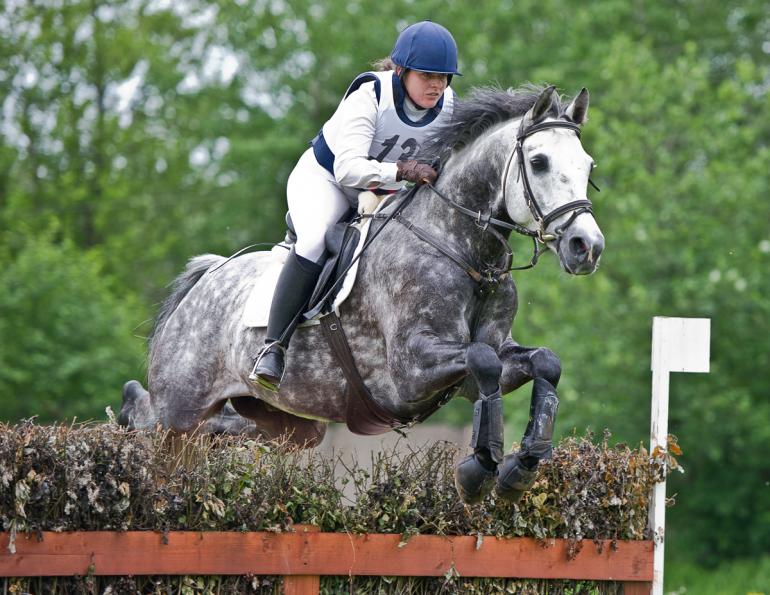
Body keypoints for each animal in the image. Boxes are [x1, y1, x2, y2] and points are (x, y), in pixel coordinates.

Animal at [119, 84, 604, 504]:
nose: (587, 246)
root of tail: (207, 278)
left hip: (289, 423)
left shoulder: (482, 366)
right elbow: (483, 361)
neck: (464, 250)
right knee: (154, 423)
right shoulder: (411, 370)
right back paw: (128, 414)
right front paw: (477, 471)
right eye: (538, 162)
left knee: (226, 432)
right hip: (179, 412)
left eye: (587, 166)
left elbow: (543, 362)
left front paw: (519, 469)